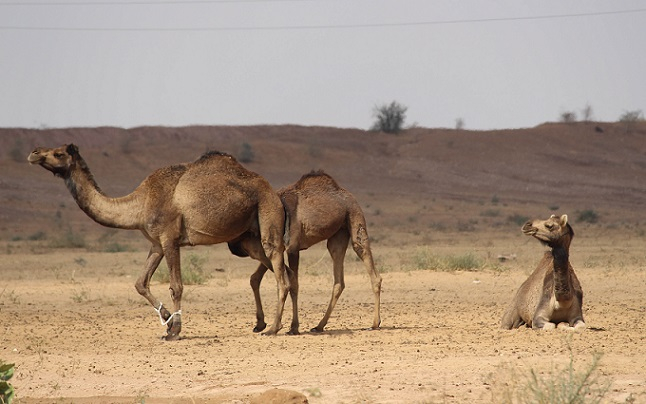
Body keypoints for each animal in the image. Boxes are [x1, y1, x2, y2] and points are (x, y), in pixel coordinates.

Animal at [29, 144, 290, 340]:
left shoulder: (169, 238)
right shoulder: (156, 244)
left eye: (58, 153)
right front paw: (166, 319)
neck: (141, 203)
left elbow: (176, 286)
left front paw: (174, 331)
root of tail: (272, 189)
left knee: (280, 270)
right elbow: (140, 283)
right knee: (283, 270)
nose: (34, 153)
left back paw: (274, 328)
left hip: (268, 210)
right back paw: (271, 325)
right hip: (247, 237)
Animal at [230, 170, 382, 334]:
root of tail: (348, 194)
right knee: (338, 279)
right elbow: (255, 279)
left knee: (366, 259)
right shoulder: (274, 248)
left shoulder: (291, 248)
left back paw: (374, 323)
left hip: (355, 217)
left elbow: (293, 284)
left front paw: (293, 327)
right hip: (338, 236)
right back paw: (319, 326)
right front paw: (260, 324)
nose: (234, 247)